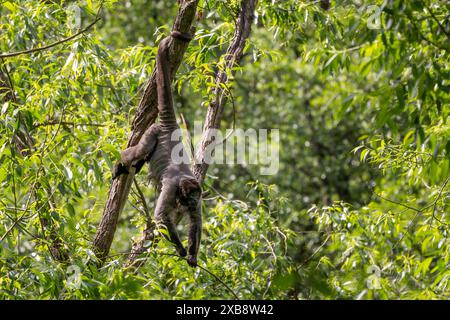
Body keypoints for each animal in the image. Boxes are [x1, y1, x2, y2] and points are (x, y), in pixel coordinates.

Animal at [112, 31, 202, 268]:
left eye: (197, 195)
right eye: (191, 194)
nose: (194, 199)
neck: (182, 192)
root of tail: (168, 128)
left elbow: (196, 221)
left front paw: (192, 254)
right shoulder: (171, 188)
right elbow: (161, 216)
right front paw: (181, 249)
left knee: (141, 159)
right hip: (152, 132)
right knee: (139, 152)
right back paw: (119, 162)